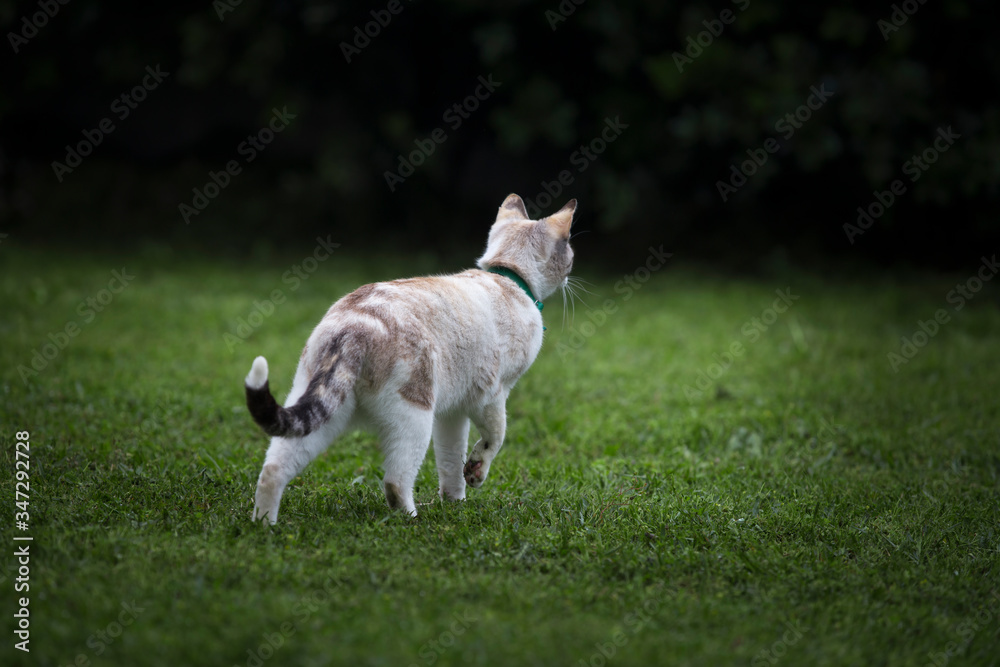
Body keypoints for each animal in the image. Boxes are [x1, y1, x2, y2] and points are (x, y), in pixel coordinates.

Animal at [244, 193, 580, 520]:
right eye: (570, 252)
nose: (569, 279)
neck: (509, 277)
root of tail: (353, 327)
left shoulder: (453, 411)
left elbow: (451, 461)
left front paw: (456, 505)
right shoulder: (493, 396)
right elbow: (493, 440)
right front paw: (475, 477)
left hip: (323, 413)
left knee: (272, 469)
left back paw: (265, 526)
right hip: (415, 416)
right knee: (395, 481)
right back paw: (412, 521)